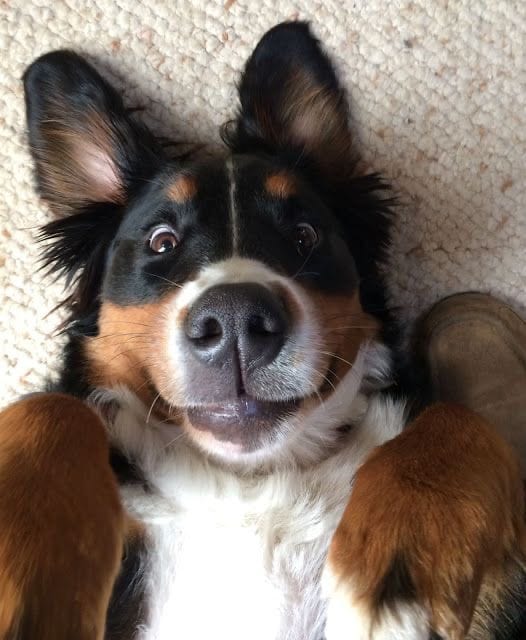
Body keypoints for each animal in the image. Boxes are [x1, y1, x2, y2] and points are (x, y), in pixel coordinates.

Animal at [1, 20, 526, 640]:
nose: (235, 321)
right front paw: (38, 569)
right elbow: (52, 406)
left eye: (304, 235)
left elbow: (457, 416)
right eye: (161, 241)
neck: (251, 480)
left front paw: (404, 563)